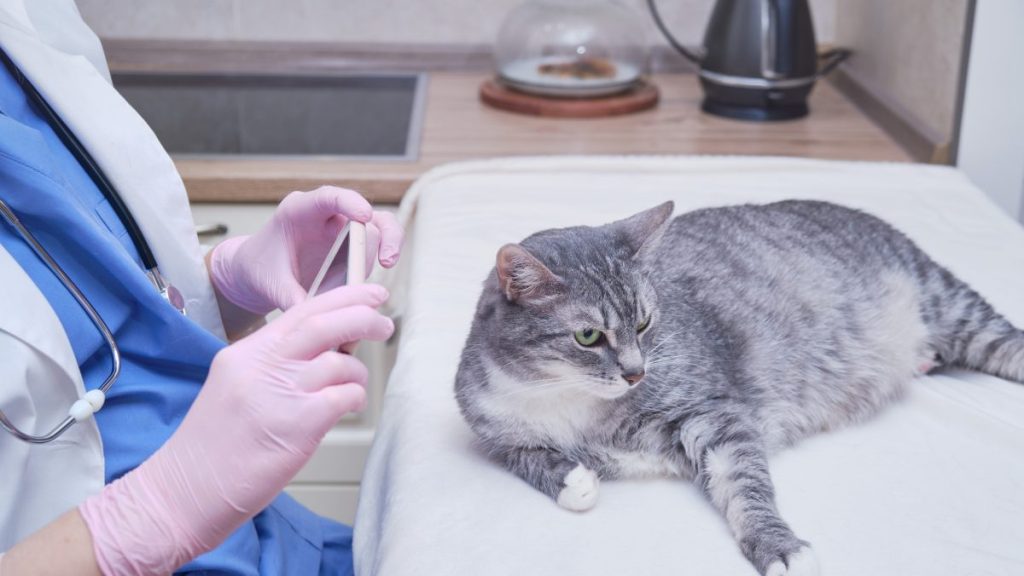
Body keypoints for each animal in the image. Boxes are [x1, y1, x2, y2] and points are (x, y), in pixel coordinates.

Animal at [454, 198, 1024, 573]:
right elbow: (525, 457)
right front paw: (574, 480)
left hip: (952, 307)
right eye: (588, 335)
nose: (637, 372)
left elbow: (746, 484)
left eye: (644, 322)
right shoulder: (490, 427)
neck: (572, 401)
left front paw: (778, 545)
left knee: (1006, 342)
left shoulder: (716, 414)